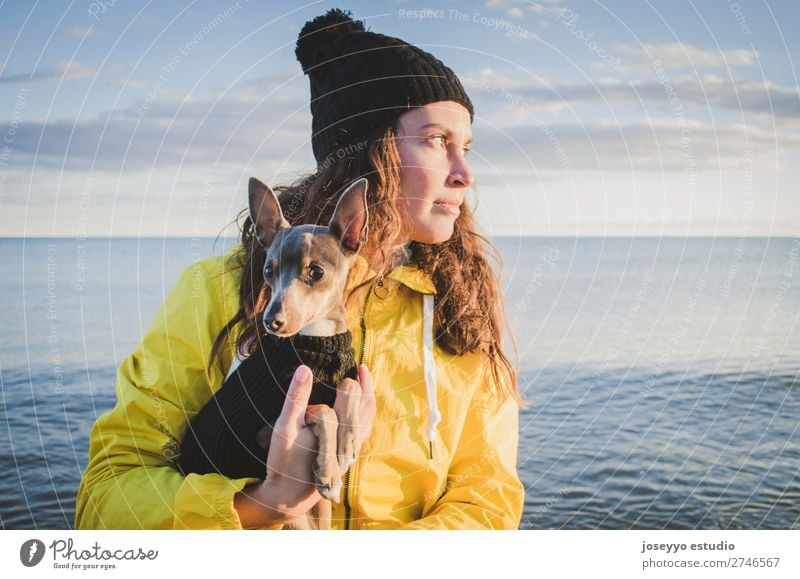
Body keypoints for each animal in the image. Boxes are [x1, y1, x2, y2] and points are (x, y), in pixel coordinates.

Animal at [179, 177, 368, 532]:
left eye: (316, 272)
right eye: (268, 270)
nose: (271, 319)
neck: (317, 340)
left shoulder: (345, 376)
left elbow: (348, 386)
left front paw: (348, 441)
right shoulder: (264, 434)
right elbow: (323, 409)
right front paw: (329, 470)